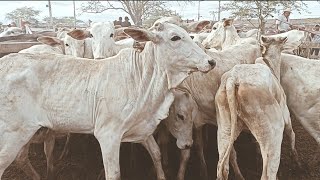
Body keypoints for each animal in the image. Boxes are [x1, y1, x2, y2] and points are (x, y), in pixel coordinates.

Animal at [0, 22, 218, 180]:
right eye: (175, 37)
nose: (211, 61)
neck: (142, 77)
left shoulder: (141, 129)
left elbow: (156, 154)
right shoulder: (108, 135)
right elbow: (114, 173)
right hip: (14, 134)